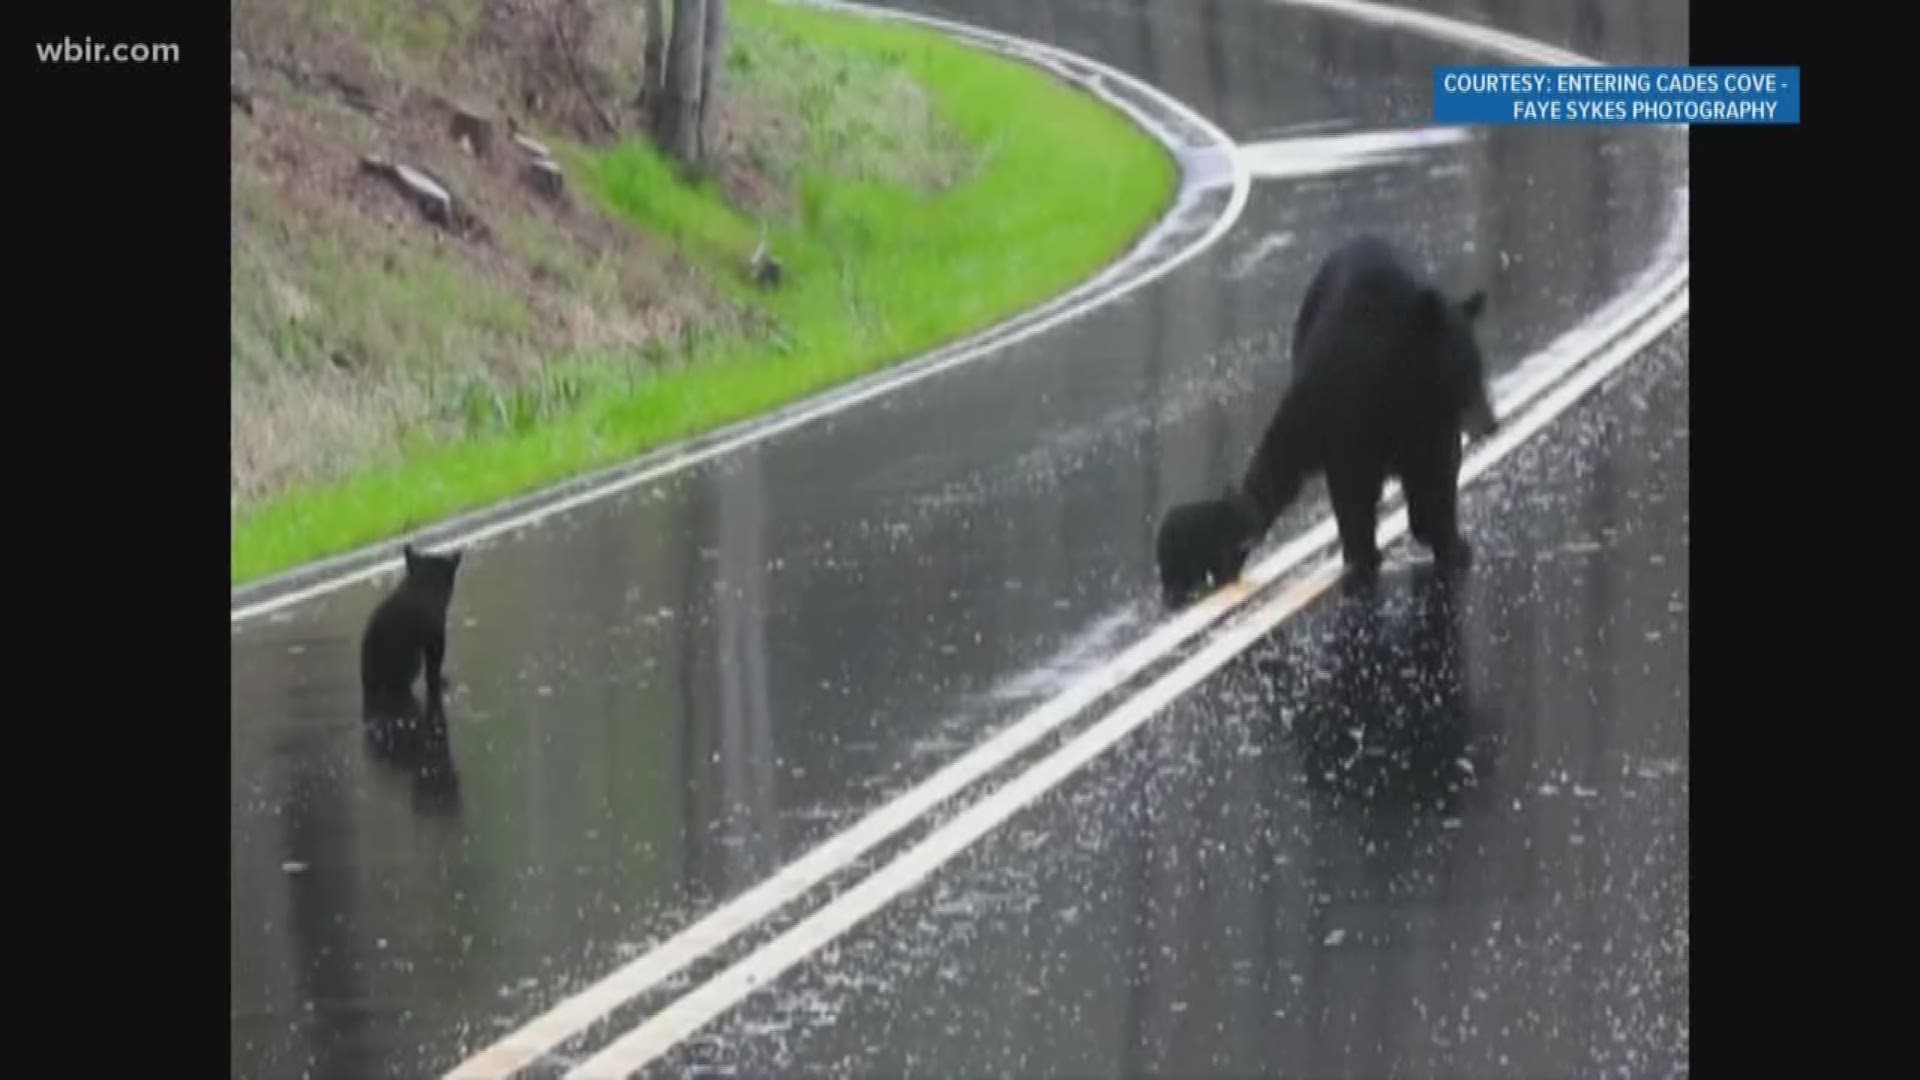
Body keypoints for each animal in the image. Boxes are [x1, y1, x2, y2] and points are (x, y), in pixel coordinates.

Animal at [1152, 235, 1497, 599]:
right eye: (1464, 372)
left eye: (1478, 368)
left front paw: (1449, 543)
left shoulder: (1430, 426)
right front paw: (1364, 557)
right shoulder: (1340, 415)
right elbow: (1348, 490)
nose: (1491, 423)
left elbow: (1437, 475)